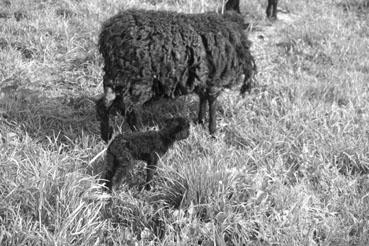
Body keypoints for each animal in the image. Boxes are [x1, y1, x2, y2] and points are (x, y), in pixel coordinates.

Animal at [95, 5, 256, 142]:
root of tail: (108, 35)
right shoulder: (214, 81)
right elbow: (212, 103)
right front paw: (213, 132)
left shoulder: (203, 78)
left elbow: (203, 98)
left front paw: (200, 121)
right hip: (138, 80)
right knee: (130, 109)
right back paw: (139, 134)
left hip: (116, 74)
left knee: (105, 103)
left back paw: (106, 136)